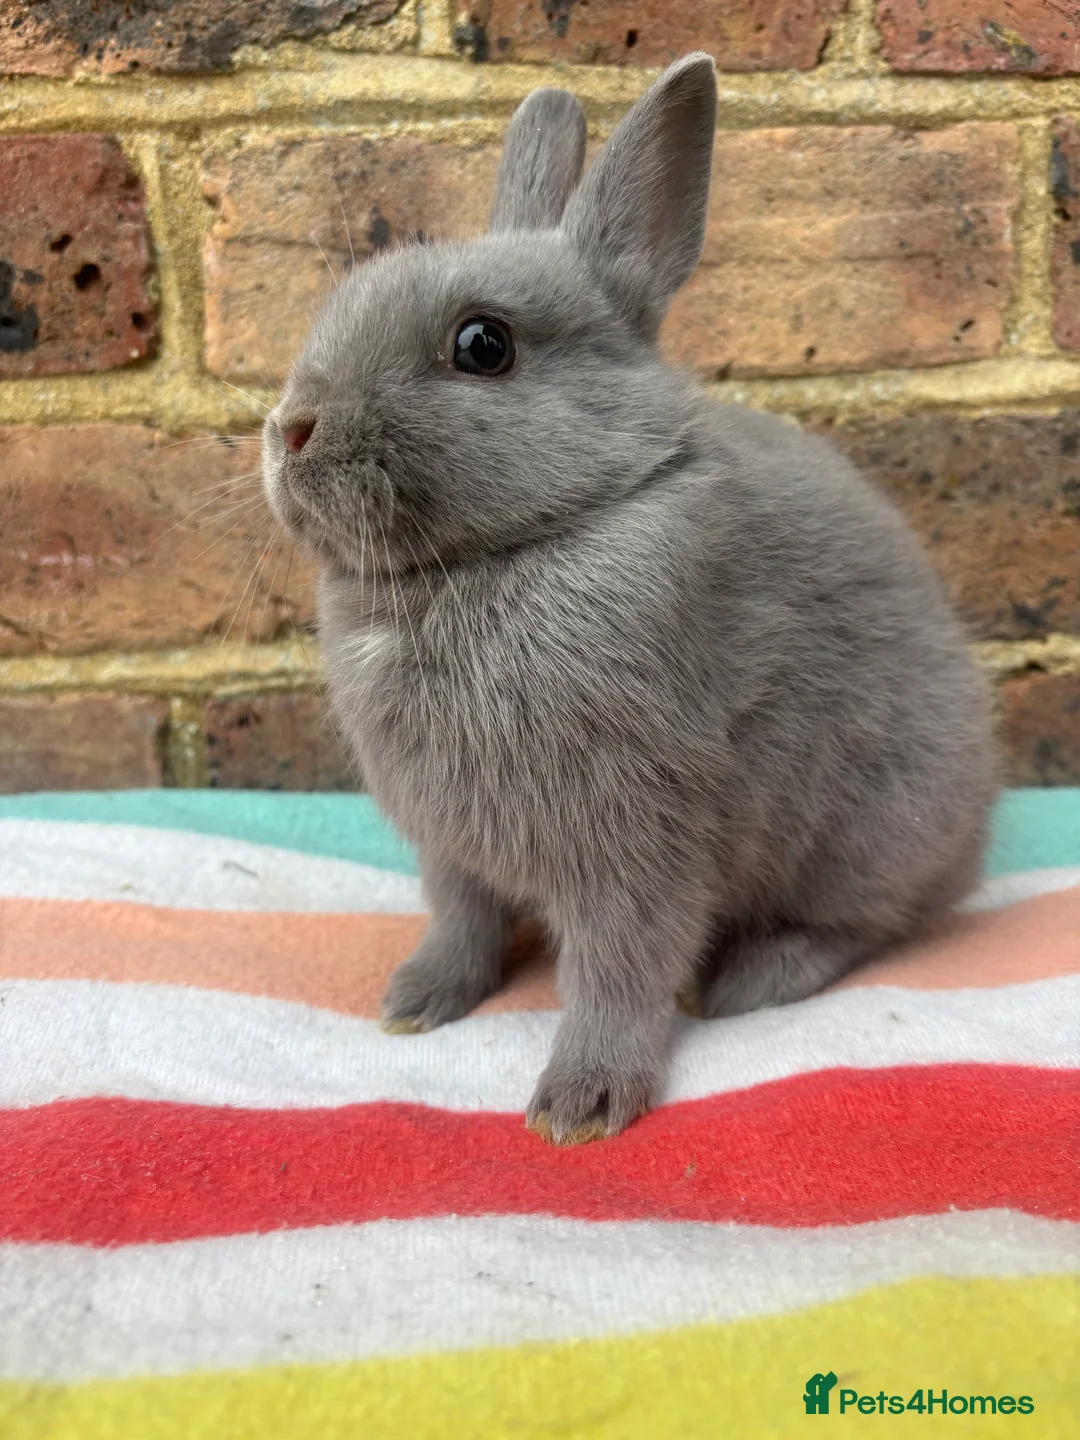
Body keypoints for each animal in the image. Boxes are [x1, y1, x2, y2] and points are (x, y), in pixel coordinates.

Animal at [261, 53, 997, 1145]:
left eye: (483, 345)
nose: (291, 429)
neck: (517, 543)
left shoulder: (637, 841)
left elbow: (619, 974)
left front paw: (580, 1106)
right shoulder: (453, 851)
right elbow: (463, 927)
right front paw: (414, 1003)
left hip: (875, 825)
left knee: (863, 924)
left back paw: (746, 981)